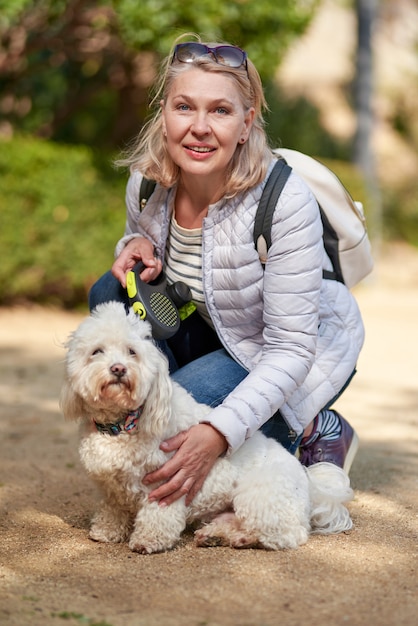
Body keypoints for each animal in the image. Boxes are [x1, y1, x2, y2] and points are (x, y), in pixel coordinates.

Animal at [59, 302, 352, 552]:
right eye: (97, 352)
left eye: (132, 352)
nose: (118, 369)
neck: (122, 423)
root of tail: (309, 484)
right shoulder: (111, 486)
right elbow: (113, 507)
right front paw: (107, 531)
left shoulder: (165, 483)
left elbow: (158, 514)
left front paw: (149, 540)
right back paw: (217, 535)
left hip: (259, 496)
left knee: (287, 534)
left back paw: (245, 539)